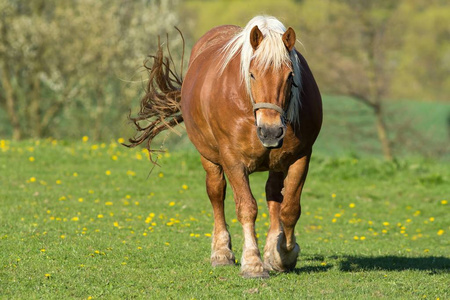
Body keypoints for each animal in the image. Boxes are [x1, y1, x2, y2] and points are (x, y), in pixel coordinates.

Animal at [127, 15, 324, 278]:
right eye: (252, 74)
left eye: (290, 75)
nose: (270, 131)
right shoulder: (233, 160)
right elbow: (247, 208)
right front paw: (252, 263)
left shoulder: (300, 158)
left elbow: (290, 208)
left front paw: (283, 254)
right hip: (210, 158)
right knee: (216, 193)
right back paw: (221, 252)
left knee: (273, 195)